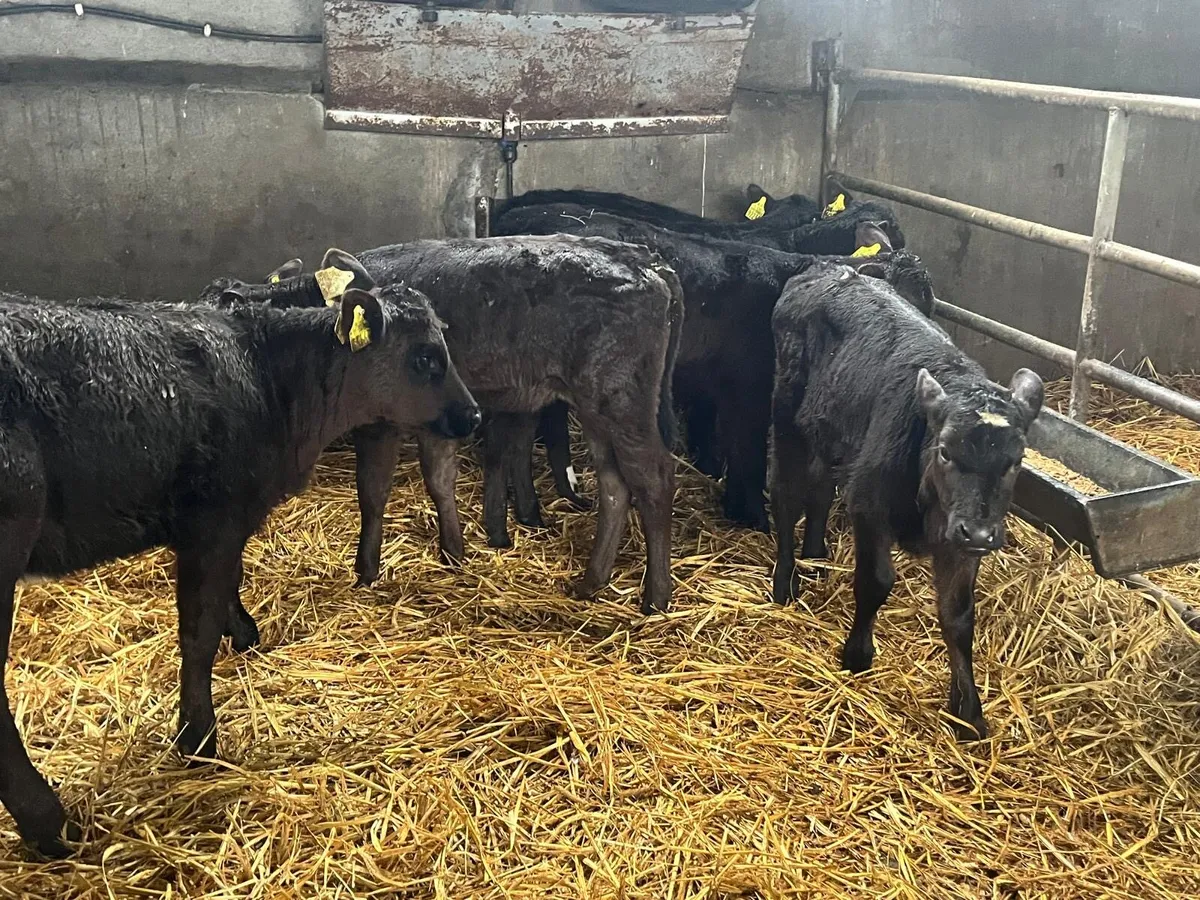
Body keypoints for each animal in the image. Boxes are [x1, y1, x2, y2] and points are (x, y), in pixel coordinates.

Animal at [0, 285, 478, 858]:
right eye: (427, 356)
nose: (473, 416)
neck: (272, 383)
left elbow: (230, 584)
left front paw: (244, 632)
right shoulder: (215, 518)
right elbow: (198, 631)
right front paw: (198, 736)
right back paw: (49, 822)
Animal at [212, 236, 684, 617]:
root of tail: (644, 260)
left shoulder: (383, 421)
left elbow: (379, 488)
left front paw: (369, 568)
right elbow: (426, 483)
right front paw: (450, 552)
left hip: (621, 402)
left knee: (654, 478)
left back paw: (656, 597)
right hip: (596, 410)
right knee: (615, 483)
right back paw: (592, 581)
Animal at [769, 263, 1043, 740]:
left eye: (1016, 461)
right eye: (946, 451)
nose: (981, 532)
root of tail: (825, 268)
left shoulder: (959, 540)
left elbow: (958, 615)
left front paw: (968, 709)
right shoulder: (870, 506)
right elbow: (876, 582)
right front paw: (857, 655)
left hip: (830, 433)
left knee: (819, 488)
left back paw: (816, 557)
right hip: (788, 417)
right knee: (786, 494)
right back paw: (785, 582)